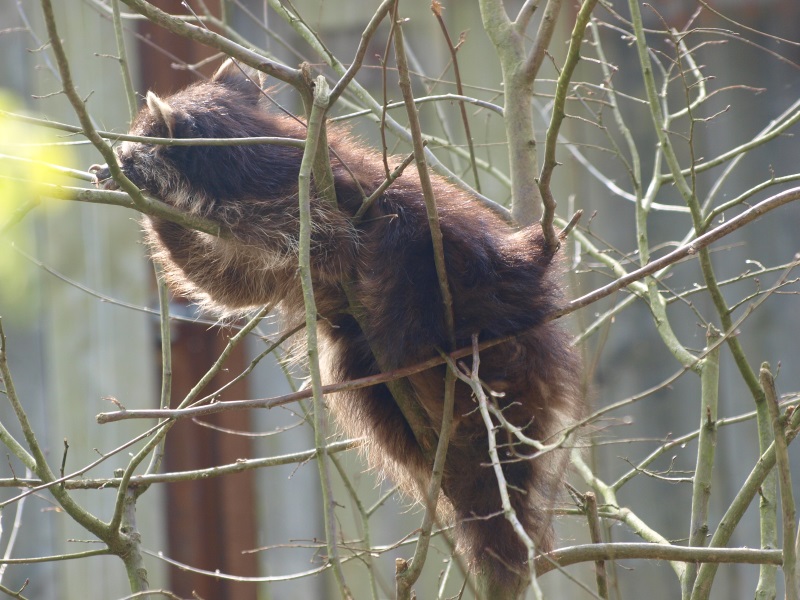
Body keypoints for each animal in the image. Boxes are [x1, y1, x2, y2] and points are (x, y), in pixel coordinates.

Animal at [92, 59, 582, 594]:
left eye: (136, 136)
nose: (118, 153)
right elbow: (229, 281)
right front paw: (163, 221)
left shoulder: (299, 198)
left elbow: (317, 245)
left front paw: (149, 199)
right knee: (360, 380)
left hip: (461, 288)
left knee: (411, 254)